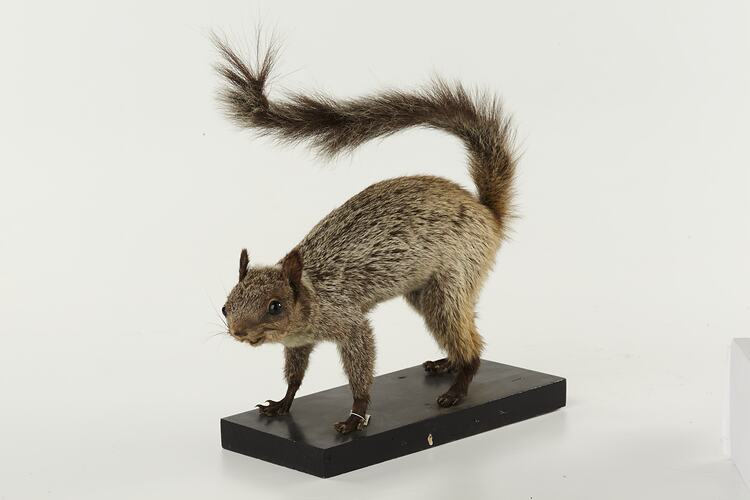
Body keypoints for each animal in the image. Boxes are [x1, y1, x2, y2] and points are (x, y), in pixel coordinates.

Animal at [214, 37, 517, 434]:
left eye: (275, 306)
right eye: (224, 307)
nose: (238, 332)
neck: (310, 293)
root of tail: (487, 214)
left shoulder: (348, 321)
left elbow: (361, 365)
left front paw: (355, 416)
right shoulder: (299, 342)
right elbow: (295, 375)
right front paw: (282, 403)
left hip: (453, 278)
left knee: (469, 341)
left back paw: (458, 385)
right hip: (422, 291)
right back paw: (446, 363)